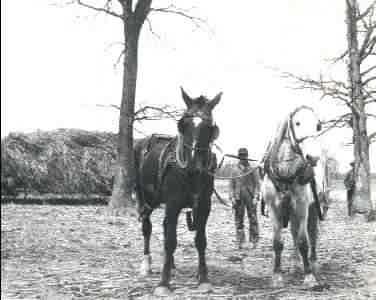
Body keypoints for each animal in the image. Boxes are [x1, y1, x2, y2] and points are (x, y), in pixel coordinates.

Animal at [134, 87, 222, 296]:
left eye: (210, 127)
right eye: (183, 124)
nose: (194, 166)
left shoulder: (204, 205)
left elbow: (200, 240)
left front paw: (203, 279)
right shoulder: (173, 204)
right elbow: (171, 241)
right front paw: (163, 283)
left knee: (166, 226)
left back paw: (172, 264)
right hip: (145, 198)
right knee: (147, 227)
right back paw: (146, 264)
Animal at [262, 106, 326, 290]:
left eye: (318, 125)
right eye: (297, 123)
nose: (313, 157)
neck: (286, 173)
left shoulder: (302, 208)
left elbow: (303, 241)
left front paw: (309, 277)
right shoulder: (275, 208)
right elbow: (278, 242)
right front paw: (277, 276)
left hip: (312, 209)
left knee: (312, 234)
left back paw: (313, 263)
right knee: (293, 232)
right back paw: (296, 263)